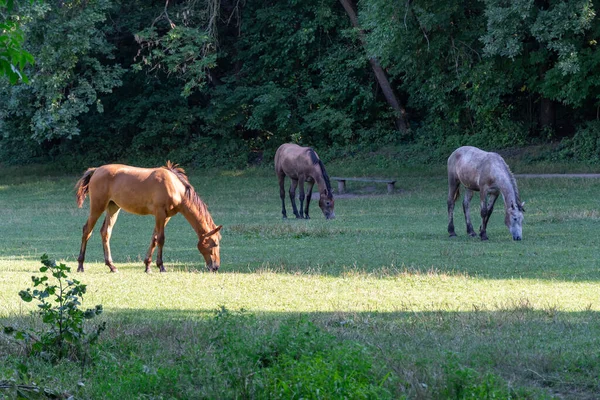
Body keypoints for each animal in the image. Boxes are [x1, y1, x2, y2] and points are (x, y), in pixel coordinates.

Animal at [75, 162, 223, 272]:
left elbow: (154, 239)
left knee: (105, 232)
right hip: (97, 207)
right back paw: (80, 265)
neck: (175, 186)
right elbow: (161, 239)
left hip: (113, 208)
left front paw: (148, 266)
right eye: (215, 243)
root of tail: (96, 170)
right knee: (87, 230)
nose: (215, 267)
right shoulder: (160, 214)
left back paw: (112, 266)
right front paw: (161, 266)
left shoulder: (166, 217)